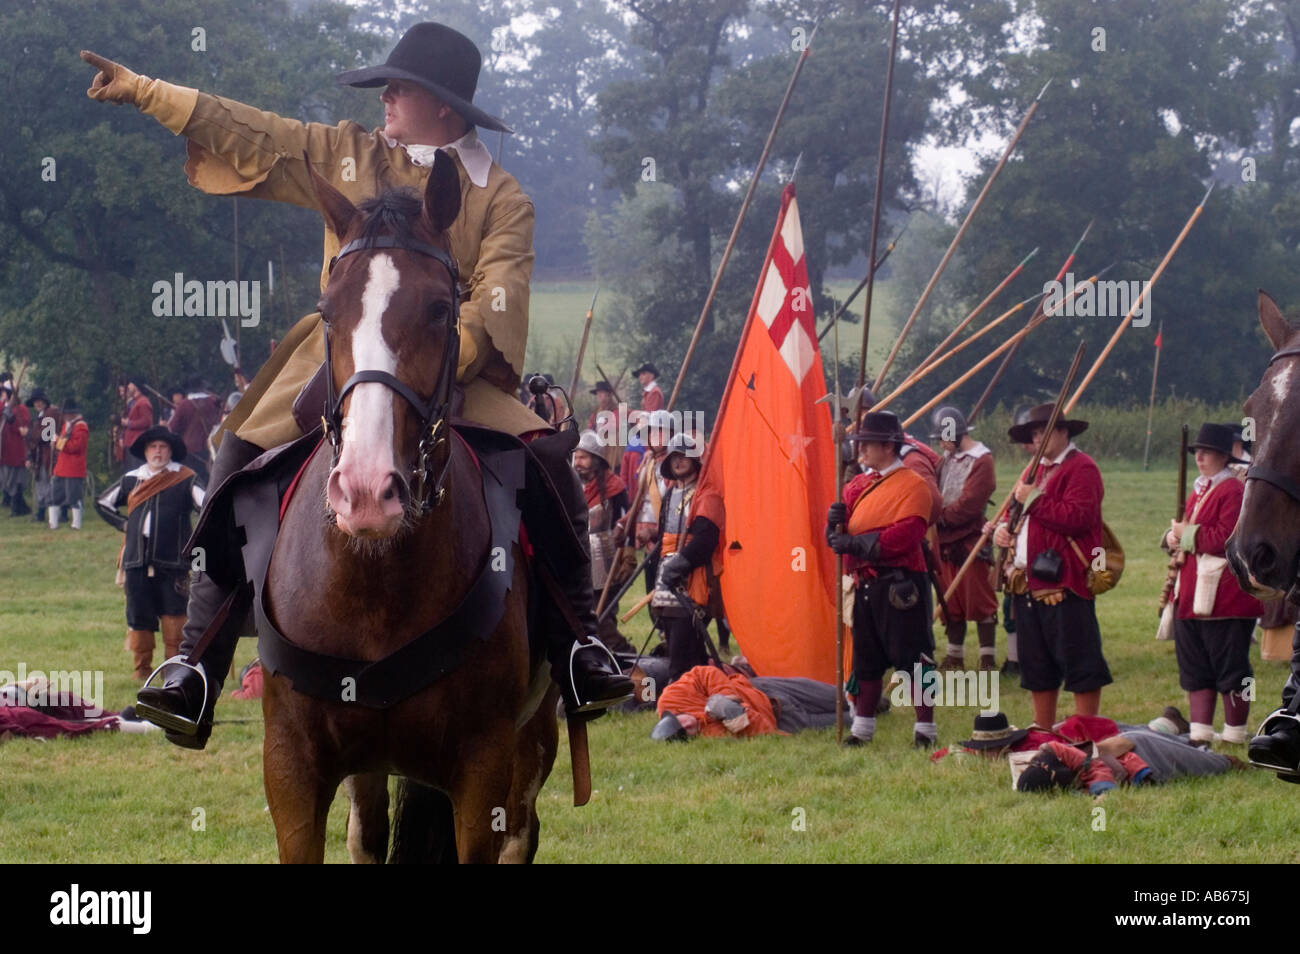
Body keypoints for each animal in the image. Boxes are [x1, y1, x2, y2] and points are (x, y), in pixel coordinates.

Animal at [256, 155, 556, 868]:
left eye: (441, 308)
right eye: (327, 312)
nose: (367, 490)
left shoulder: (482, 768)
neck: (376, 583)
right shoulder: (292, 766)